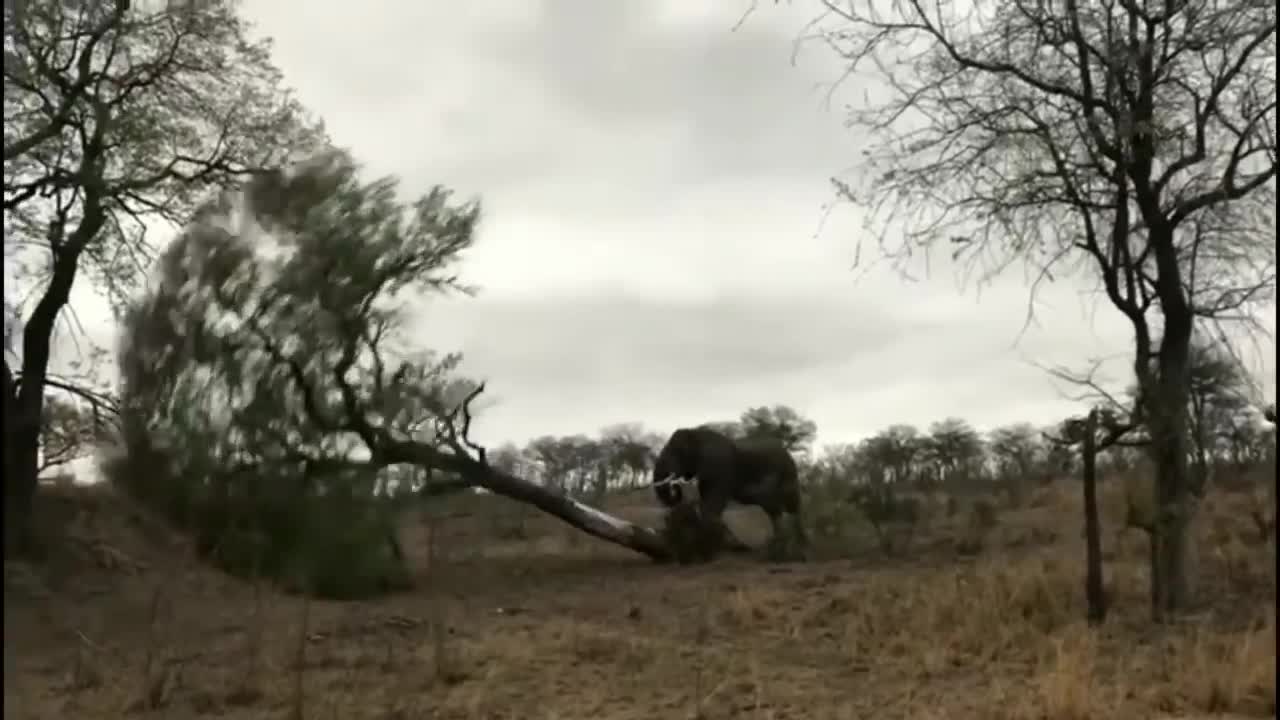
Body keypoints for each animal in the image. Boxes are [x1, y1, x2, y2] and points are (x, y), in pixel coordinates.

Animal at [655, 422, 803, 558]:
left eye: (675, 452)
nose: (675, 485)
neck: (696, 433)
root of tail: (786, 451)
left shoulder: (718, 466)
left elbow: (713, 502)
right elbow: (706, 502)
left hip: (787, 473)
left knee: (791, 507)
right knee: (773, 509)